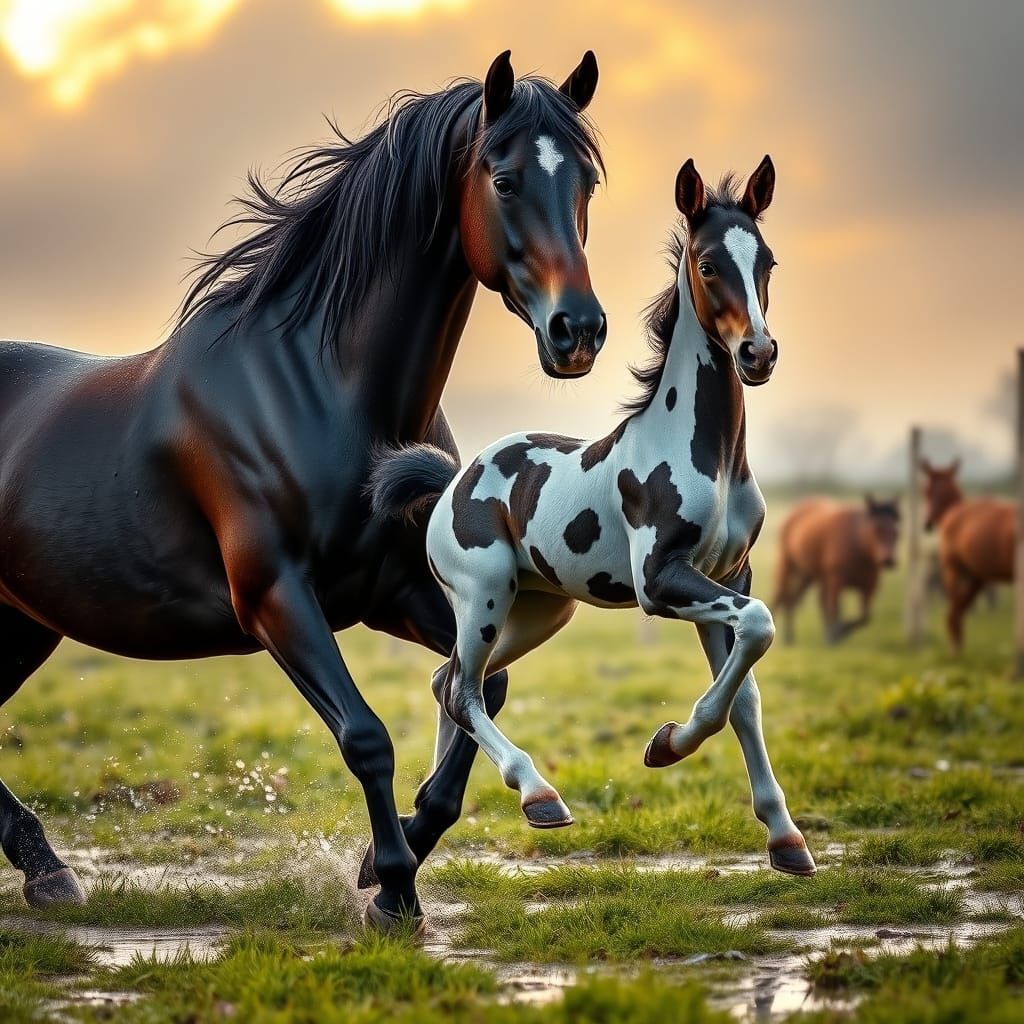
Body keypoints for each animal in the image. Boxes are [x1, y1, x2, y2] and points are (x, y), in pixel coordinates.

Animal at [0, 50, 607, 932]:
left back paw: (46, 871)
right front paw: (392, 887)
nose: (579, 332)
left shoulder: (394, 591)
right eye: (504, 177)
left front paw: (397, 852)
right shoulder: (276, 596)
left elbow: (476, 688)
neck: (321, 393)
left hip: (20, 624)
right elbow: (366, 736)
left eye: (587, 181)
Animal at [369, 155, 818, 879]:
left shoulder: (730, 577)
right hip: (483, 597)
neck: (706, 454)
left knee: (448, 682)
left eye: (768, 260)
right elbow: (758, 629)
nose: (758, 354)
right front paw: (666, 744)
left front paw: (786, 837)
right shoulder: (662, 582)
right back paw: (539, 795)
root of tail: (451, 484)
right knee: (464, 690)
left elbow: (745, 695)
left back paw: (416, 821)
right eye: (709, 263)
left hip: (538, 611)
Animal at [773, 496, 900, 645]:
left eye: (897, 532)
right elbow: (836, 610)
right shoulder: (836, 581)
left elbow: (865, 617)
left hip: (809, 574)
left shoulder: (869, 587)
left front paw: (840, 632)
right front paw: (837, 633)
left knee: (796, 599)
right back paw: (787, 636)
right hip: (787, 566)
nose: (888, 560)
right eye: (876, 529)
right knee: (783, 597)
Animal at [920, 459, 1014, 653]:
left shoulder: (953, 568)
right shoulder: (979, 575)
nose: (927, 523)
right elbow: (960, 610)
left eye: (925, 490)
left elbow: (953, 613)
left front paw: (956, 650)